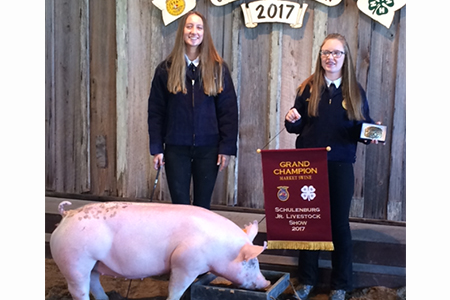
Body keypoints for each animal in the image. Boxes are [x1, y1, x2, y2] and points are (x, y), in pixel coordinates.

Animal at [48, 200, 270, 300]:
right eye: (251, 262)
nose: (266, 282)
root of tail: (67, 214)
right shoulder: (184, 263)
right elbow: (176, 289)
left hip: (93, 262)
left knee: (94, 282)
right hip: (75, 261)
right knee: (79, 289)